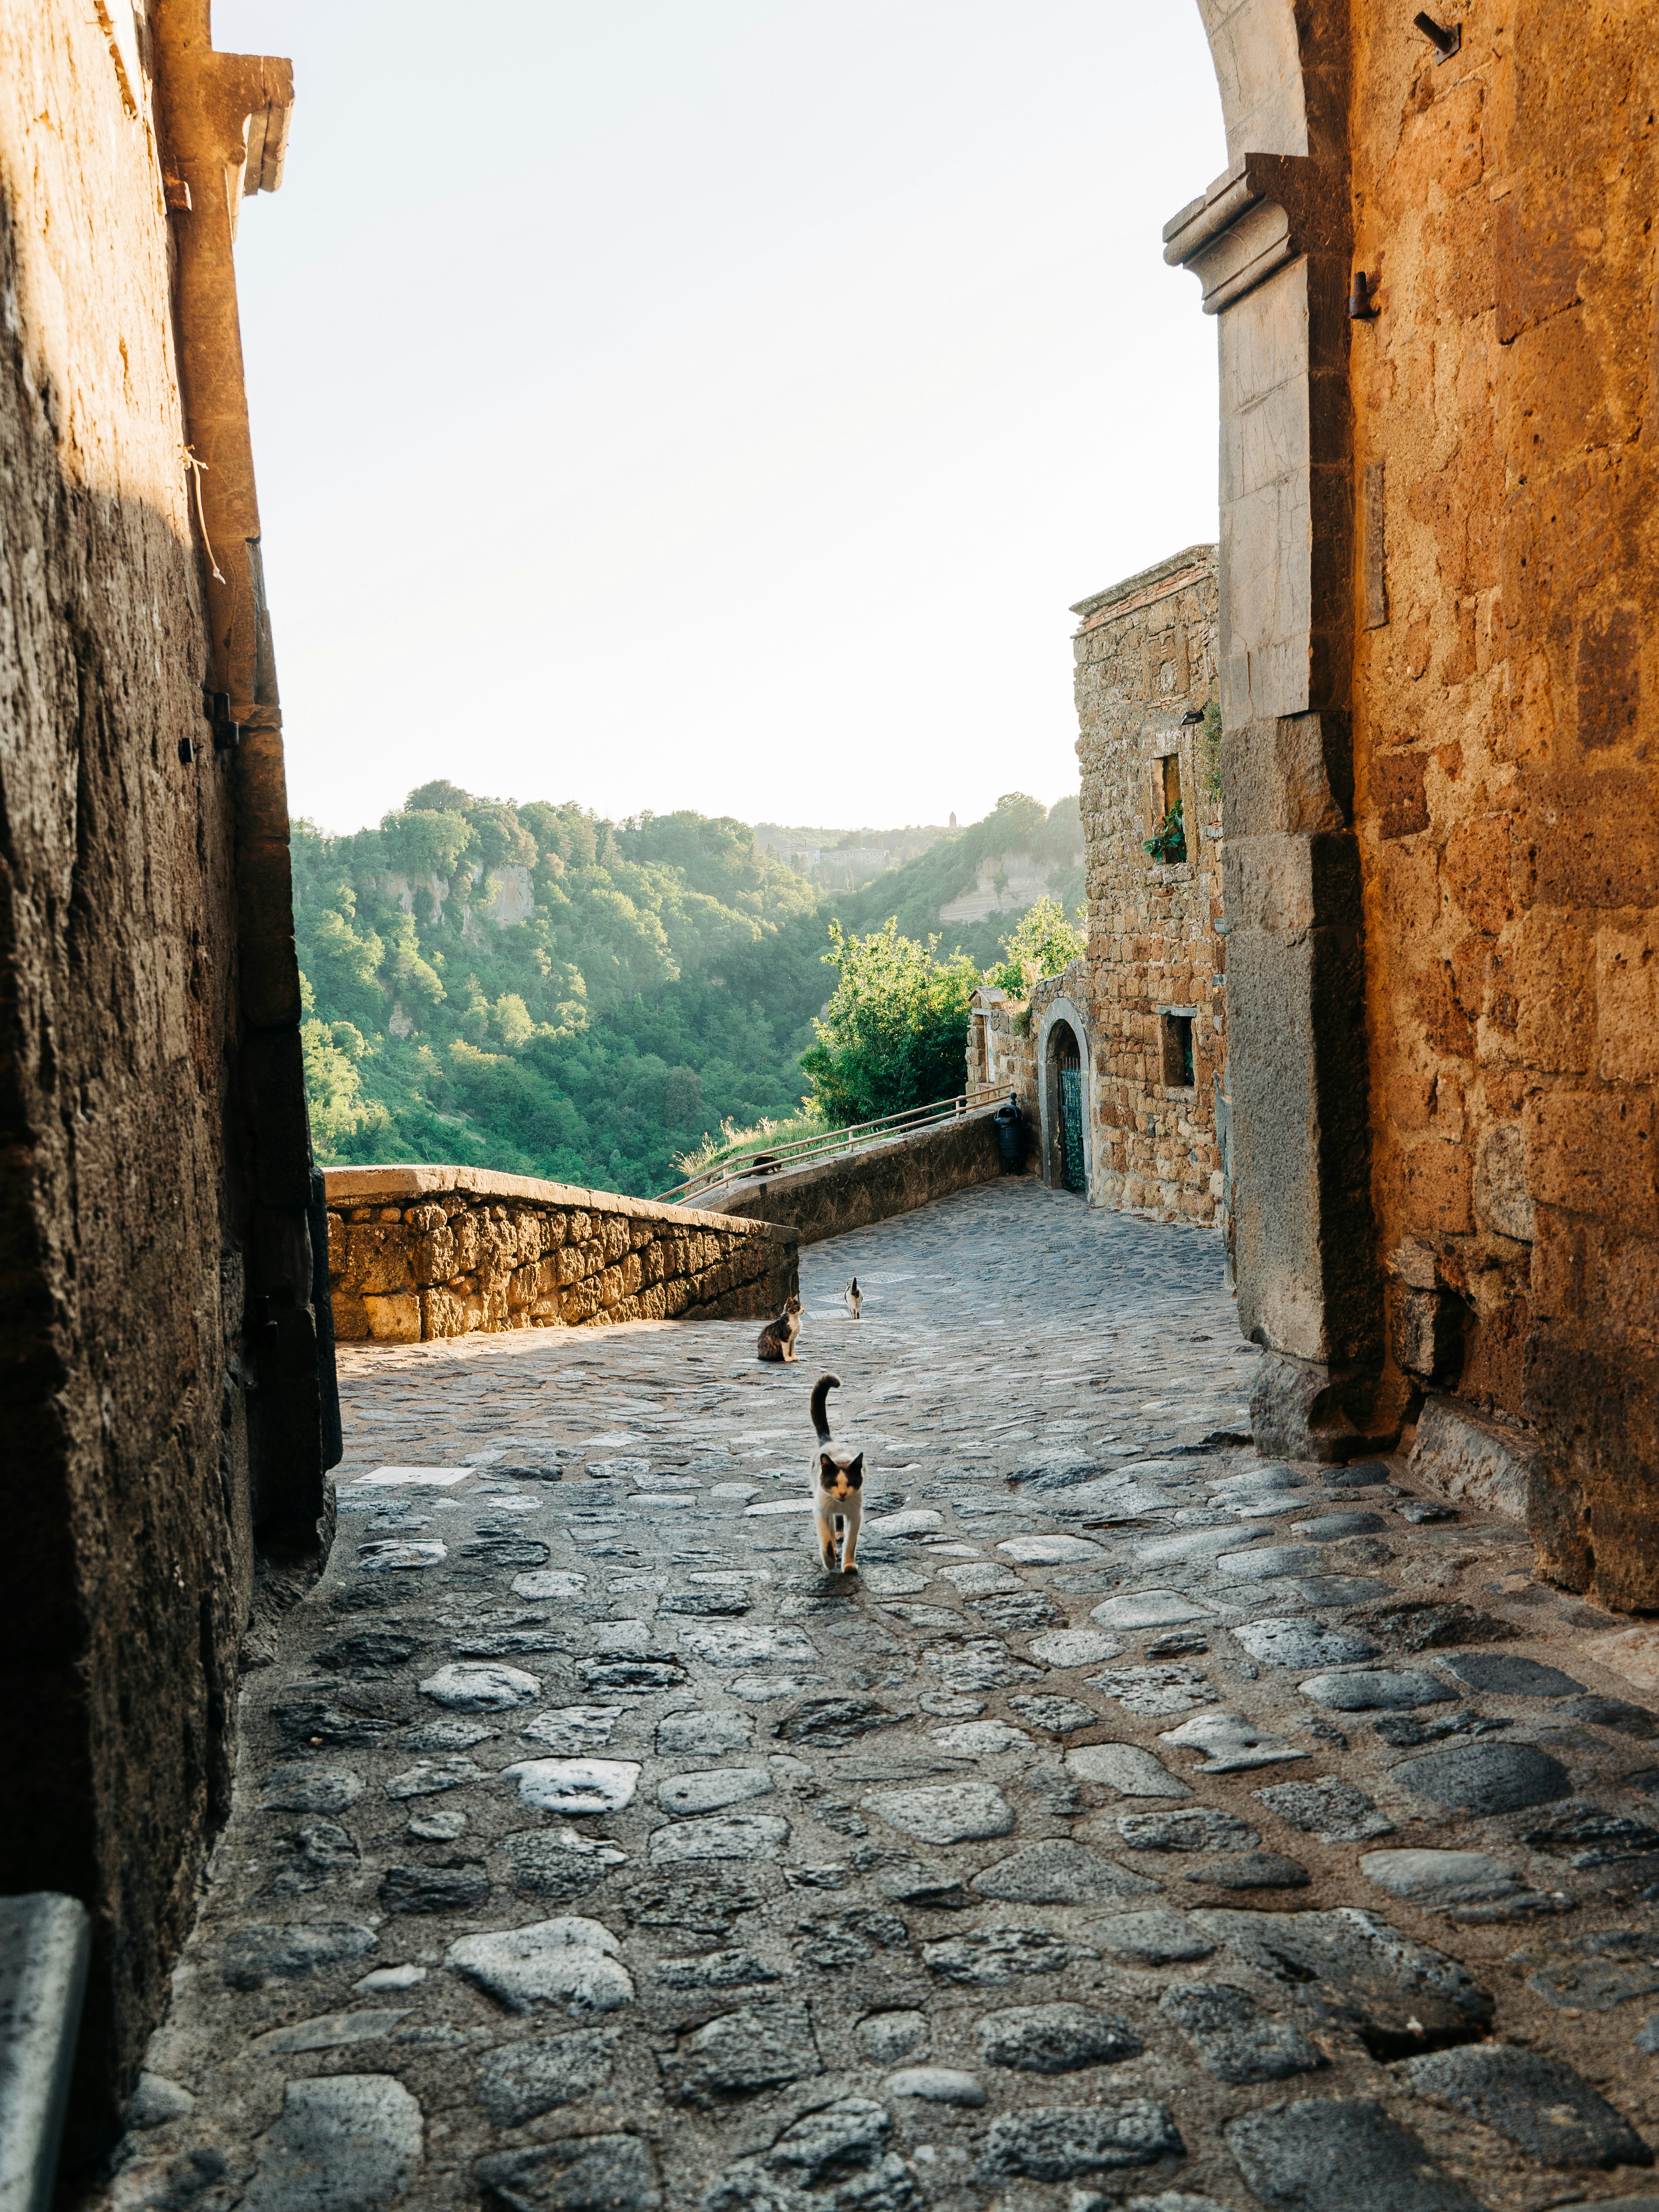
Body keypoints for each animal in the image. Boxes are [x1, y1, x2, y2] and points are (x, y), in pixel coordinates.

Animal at [761, 1292, 805, 1363]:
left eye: (801, 1306)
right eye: (798, 1307)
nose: (804, 1310)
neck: (794, 1319)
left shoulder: (793, 1339)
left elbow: (792, 1349)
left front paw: (793, 1357)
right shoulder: (785, 1338)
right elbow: (786, 1350)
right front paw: (788, 1359)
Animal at [810, 1363, 863, 1575]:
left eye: (851, 1483)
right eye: (833, 1482)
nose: (841, 1494)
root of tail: (828, 1441)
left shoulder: (856, 1515)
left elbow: (851, 1543)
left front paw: (848, 1565)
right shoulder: (820, 1510)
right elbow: (825, 1538)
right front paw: (830, 1559)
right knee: (831, 1527)